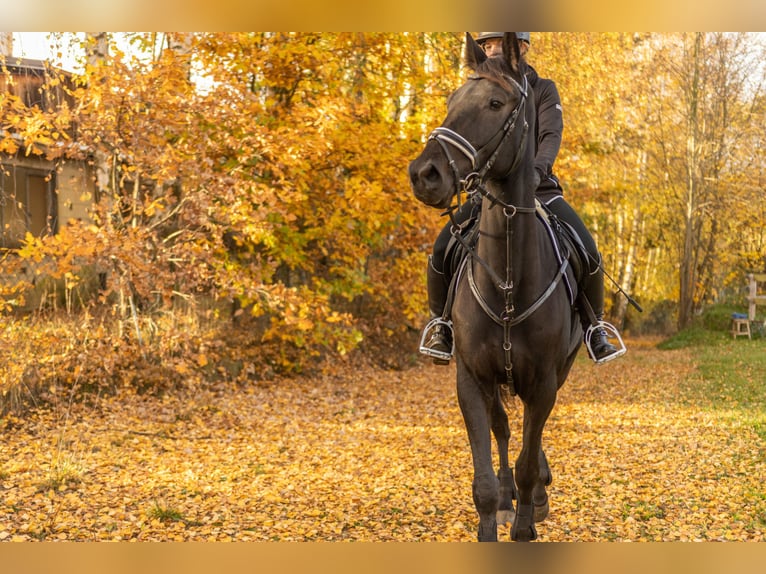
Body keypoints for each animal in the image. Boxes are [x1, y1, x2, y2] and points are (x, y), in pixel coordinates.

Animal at [408, 33, 584, 544]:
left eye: (494, 103)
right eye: (451, 101)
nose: (424, 174)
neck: (507, 279)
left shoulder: (544, 381)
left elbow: (529, 451)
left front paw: (527, 519)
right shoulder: (471, 378)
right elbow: (487, 472)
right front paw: (498, 510)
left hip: (558, 372)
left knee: (530, 434)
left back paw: (535, 495)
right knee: (506, 429)